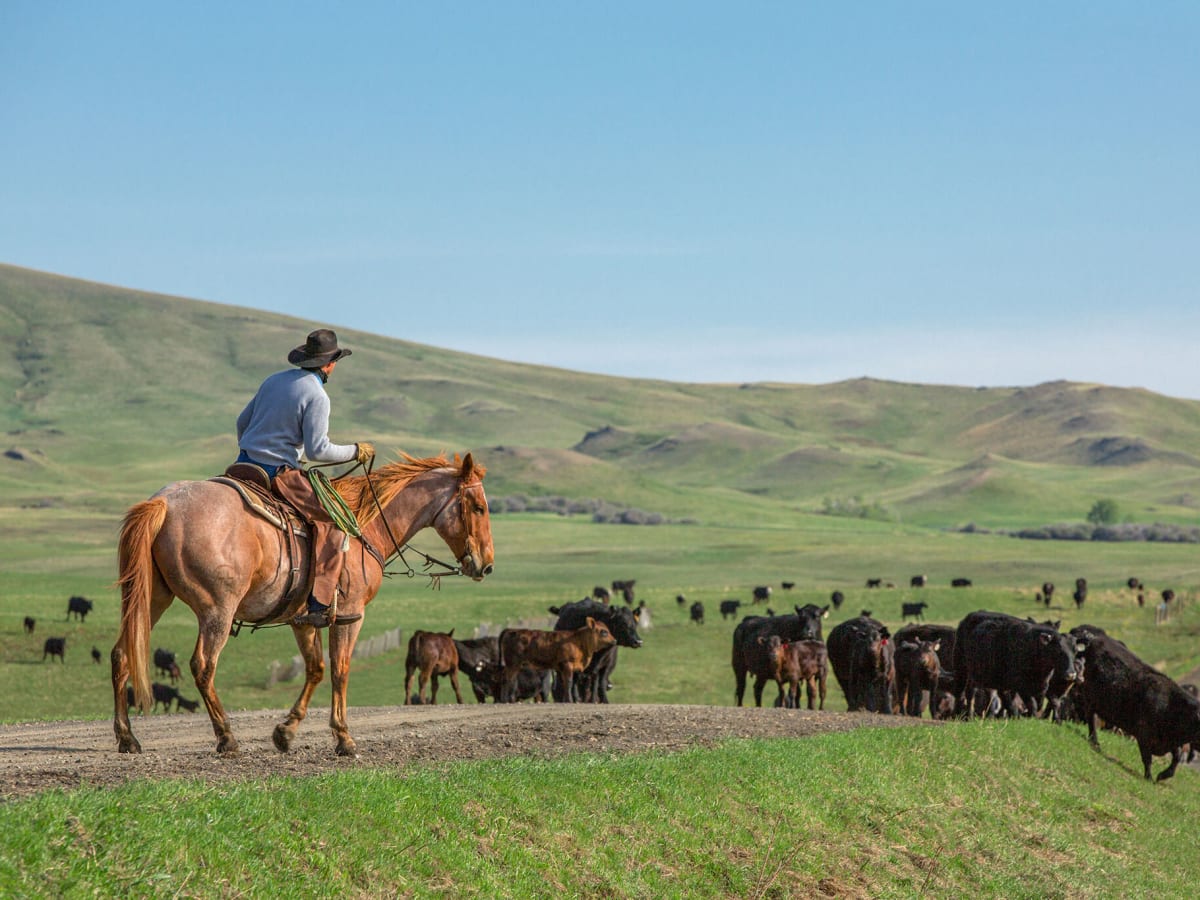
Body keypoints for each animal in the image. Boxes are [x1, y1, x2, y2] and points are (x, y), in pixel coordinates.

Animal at [109, 453, 492, 758]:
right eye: (479, 507)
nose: (486, 565)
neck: (364, 525)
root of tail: (166, 504)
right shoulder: (350, 615)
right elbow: (340, 670)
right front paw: (344, 738)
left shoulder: (303, 620)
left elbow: (316, 669)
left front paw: (285, 732)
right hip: (217, 610)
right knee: (203, 666)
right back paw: (227, 738)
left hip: (151, 599)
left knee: (122, 655)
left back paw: (128, 738)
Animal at [950, 609, 1084, 724]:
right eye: (1058, 651)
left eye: (1075, 651)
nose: (1071, 674)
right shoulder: (1021, 686)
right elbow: (1031, 705)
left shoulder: (1041, 687)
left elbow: (1040, 705)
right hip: (961, 667)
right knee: (963, 693)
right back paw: (961, 715)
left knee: (975, 693)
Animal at [1075, 633, 1200, 782]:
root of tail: (1094, 640)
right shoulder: (1143, 734)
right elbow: (1147, 759)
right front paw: (1149, 777)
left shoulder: (1170, 741)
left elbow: (1177, 757)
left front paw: (1162, 775)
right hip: (1090, 697)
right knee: (1092, 719)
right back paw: (1095, 742)